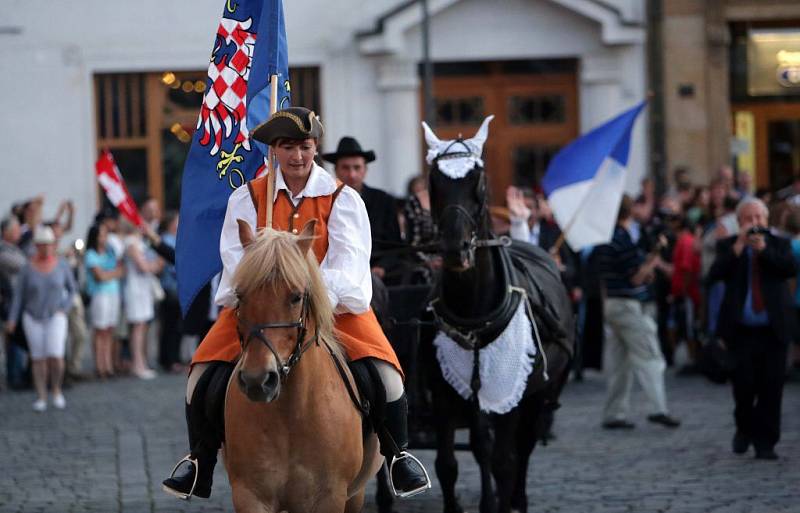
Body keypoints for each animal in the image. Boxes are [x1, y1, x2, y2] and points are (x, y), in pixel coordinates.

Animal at [223, 220, 382, 512]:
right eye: (239, 295)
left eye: (296, 297)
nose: (257, 380)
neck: (291, 414)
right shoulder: (250, 495)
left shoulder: (331, 496)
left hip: (355, 495)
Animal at [418, 118, 576, 512]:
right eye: (433, 181)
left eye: (479, 181)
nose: (455, 250)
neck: (474, 313)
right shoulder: (444, 392)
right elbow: (449, 464)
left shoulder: (511, 394)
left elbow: (505, 461)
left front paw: (502, 499)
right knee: (482, 445)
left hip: (539, 392)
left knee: (524, 445)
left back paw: (517, 498)